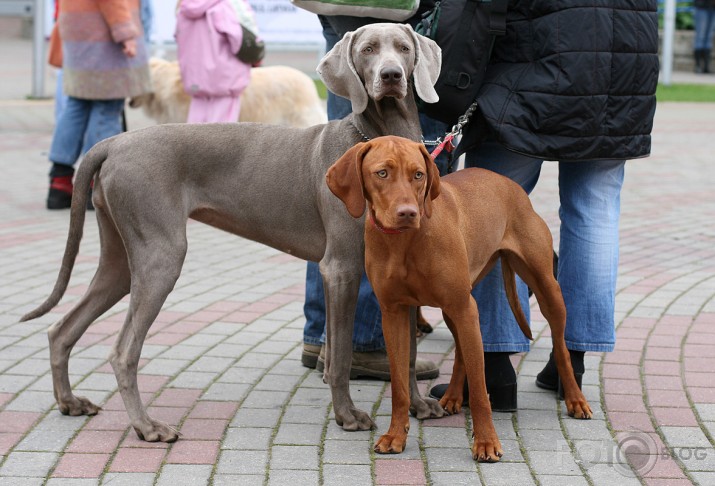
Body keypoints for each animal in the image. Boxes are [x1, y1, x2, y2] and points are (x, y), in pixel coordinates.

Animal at [328, 136, 592, 460]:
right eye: (382, 173)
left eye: (418, 175)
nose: (408, 213)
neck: (404, 241)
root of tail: (512, 186)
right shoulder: (395, 313)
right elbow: (400, 386)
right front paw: (395, 435)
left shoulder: (465, 308)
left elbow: (479, 390)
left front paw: (487, 442)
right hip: (453, 309)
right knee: (461, 356)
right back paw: (453, 396)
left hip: (544, 289)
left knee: (562, 347)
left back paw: (575, 399)